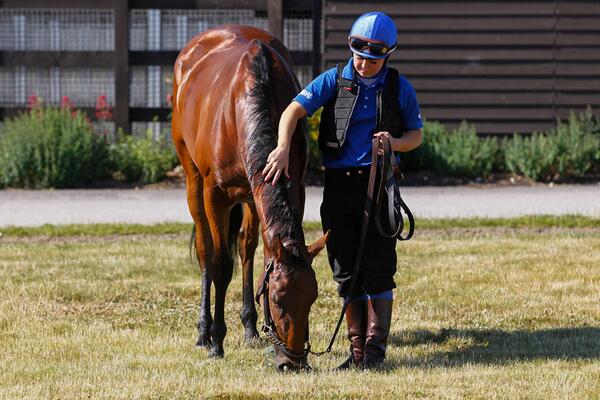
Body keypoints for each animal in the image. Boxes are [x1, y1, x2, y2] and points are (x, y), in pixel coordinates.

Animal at [169, 23, 328, 370]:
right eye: (277, 299)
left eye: (312, 296)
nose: (293, 362)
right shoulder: (215, 195)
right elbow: (219, 264)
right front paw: (216, 341)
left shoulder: (292, 186)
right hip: (192, 181)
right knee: (206, 249)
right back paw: (203, 332)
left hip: (252, 198)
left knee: (246, 246)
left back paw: (250, 327)